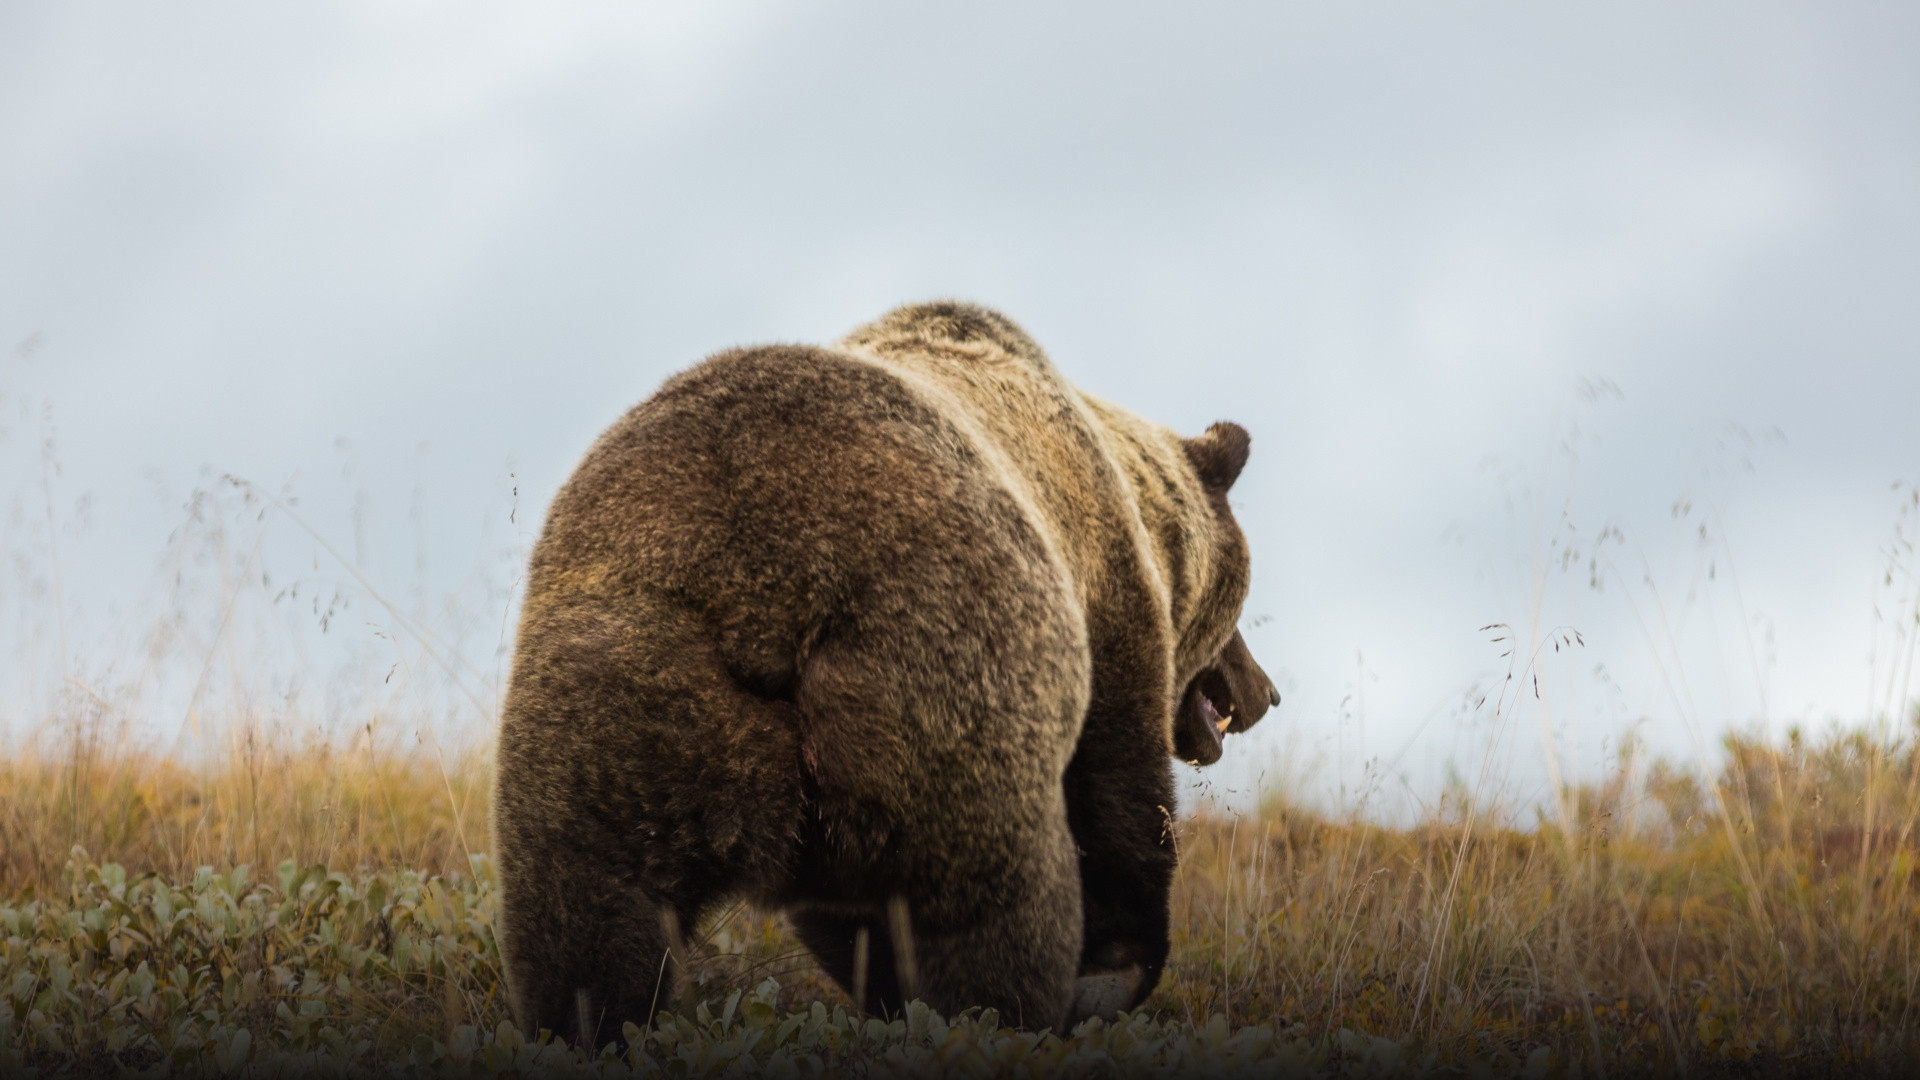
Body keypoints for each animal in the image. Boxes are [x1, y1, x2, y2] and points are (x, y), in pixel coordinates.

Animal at [491, 301, 1277, 1047]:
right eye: (1235, 610)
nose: (1264, 690)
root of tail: (757, 583)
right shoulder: (1104, 604)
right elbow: (1122, 796)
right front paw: (1112, 972)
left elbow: (847, 919)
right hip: (944, 674)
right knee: (989, 904)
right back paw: (1002, 1019)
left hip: (616, 691)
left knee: (591, 920)